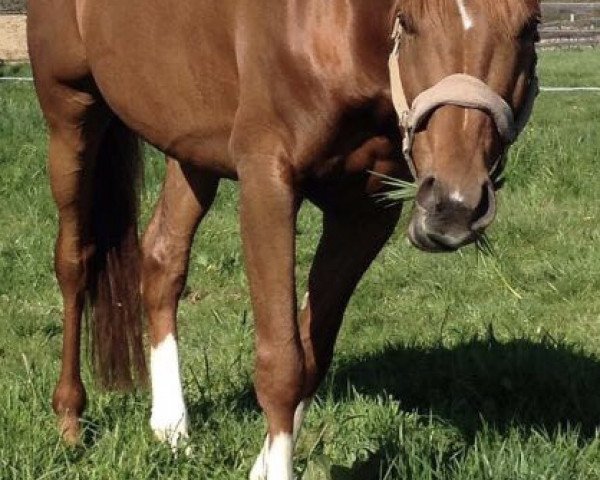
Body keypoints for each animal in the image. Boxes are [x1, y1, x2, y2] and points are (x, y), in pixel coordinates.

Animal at [27, 0, 540, 478]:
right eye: (408, 22)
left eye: (529, 28)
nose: (453, 205)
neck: (335, 31)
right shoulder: (267, 183)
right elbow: (281, 363)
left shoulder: (364, 213)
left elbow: (312, 352)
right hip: (71, 115)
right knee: (74, 262)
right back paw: (70, 421)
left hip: (190, 148)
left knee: (161, 261)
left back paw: (171, 429)